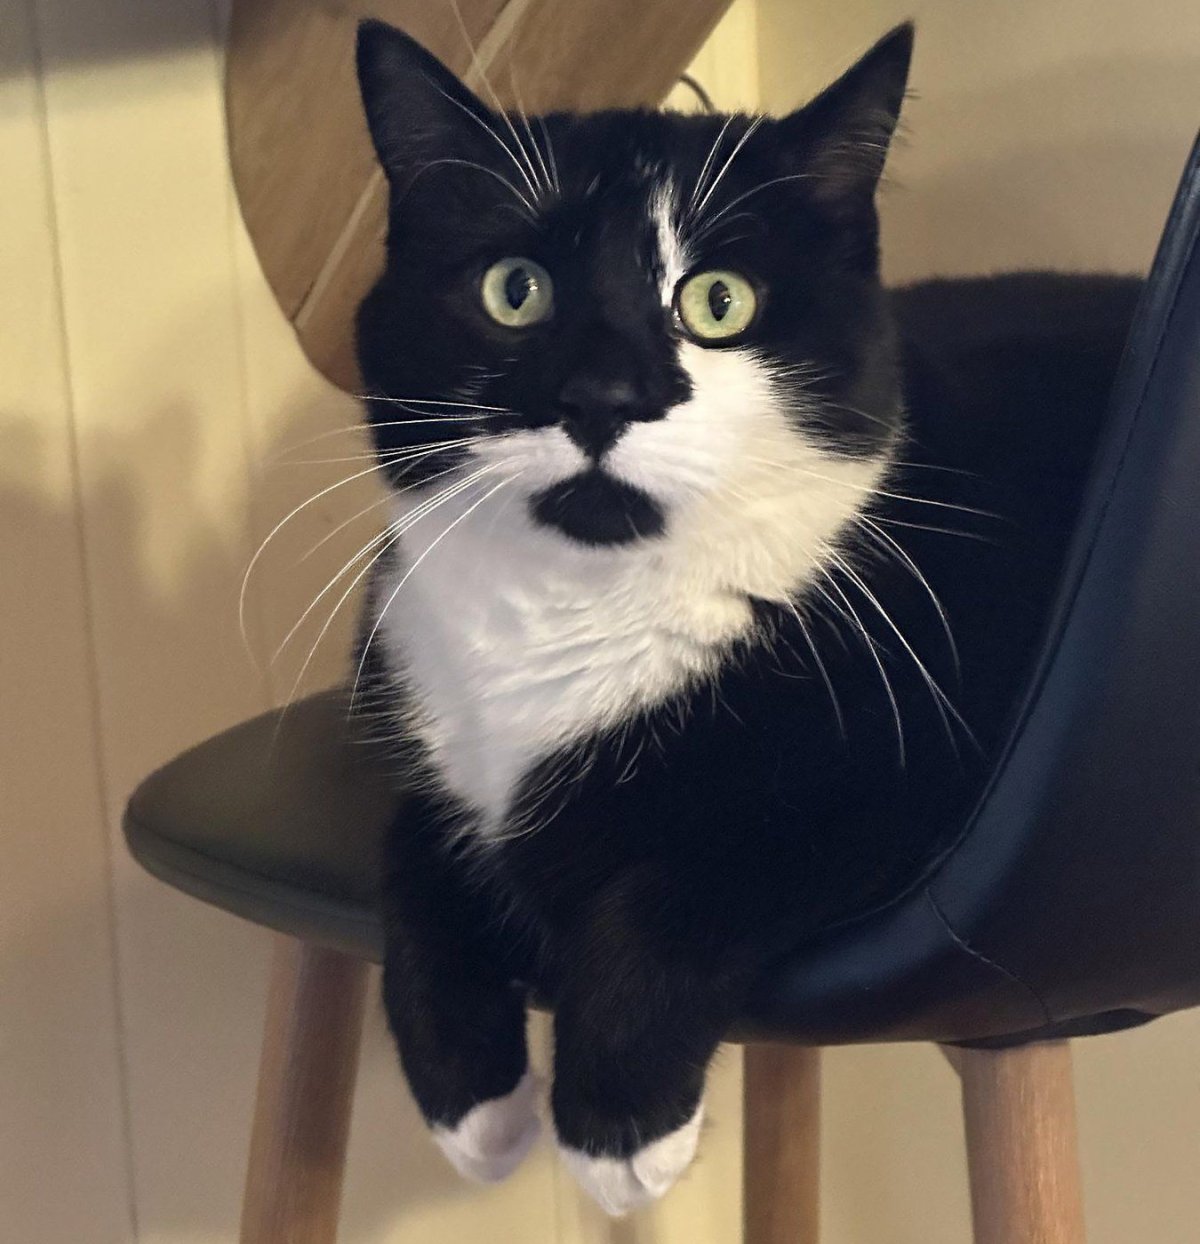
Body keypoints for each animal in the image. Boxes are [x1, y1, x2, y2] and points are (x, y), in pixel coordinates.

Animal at [348, 14, 1144, 1209]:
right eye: (514, 289)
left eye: (719, 301)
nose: (602, 396)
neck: (571, 609)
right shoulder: (432, 726)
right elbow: (410, 845)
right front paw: (473, 1107)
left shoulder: (916, 776)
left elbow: (691, 872)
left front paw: (616, 1129)